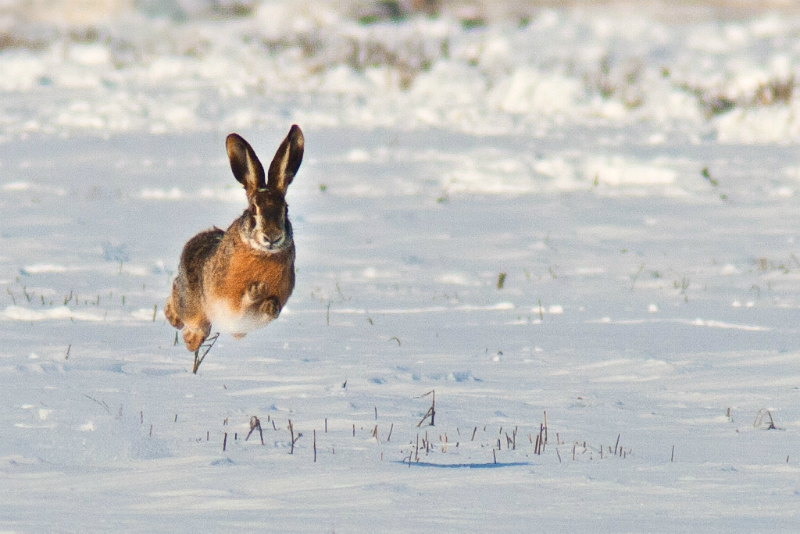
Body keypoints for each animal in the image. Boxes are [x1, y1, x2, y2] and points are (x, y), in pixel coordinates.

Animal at [164, 125, 304, 357]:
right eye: (253, 210)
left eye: (285, 210)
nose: (272, 237)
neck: (262, 254)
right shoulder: (229, 303)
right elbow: (242, 303)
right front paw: (257, 291)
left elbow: (268, 312)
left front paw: (268, 303)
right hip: (193, 306)